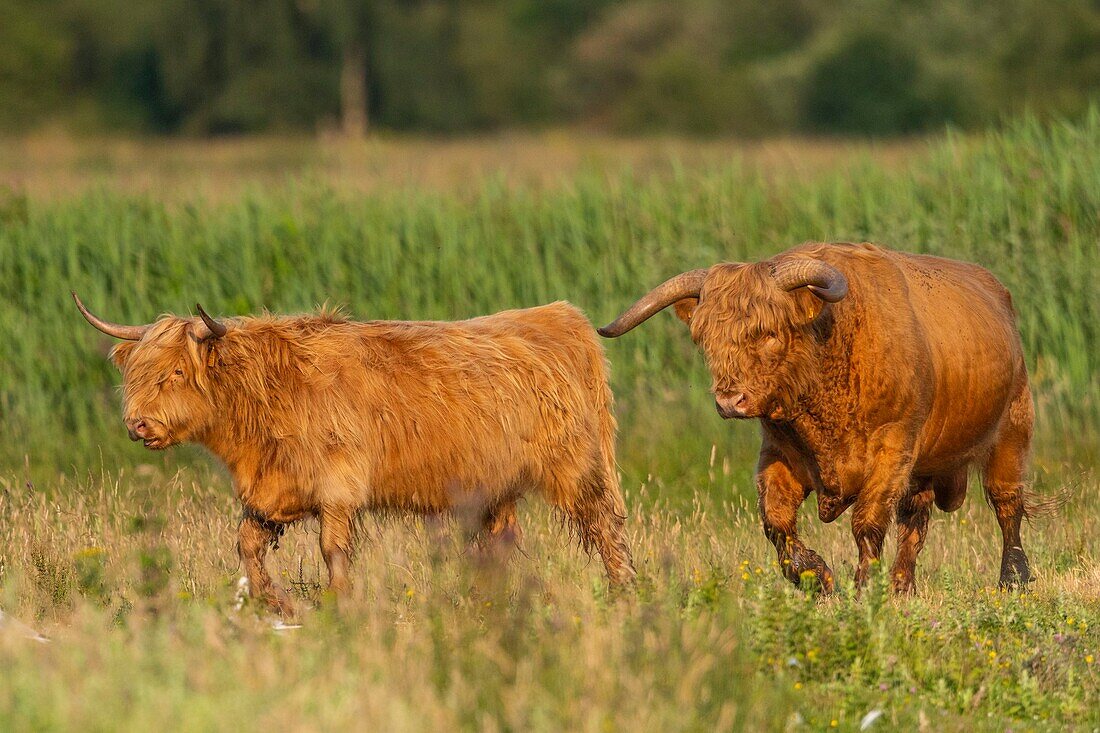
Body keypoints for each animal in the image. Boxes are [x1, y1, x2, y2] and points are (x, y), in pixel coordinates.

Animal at [75, 292, 638, 611]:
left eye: (174, 372)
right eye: (135, 374)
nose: (137, 424)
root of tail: (560, 318)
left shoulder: (338, 487)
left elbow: (333, 551)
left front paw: (341, 604)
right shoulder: (273, 492)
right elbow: (247, 546)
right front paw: (277, 604)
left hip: (578, 468)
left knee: (604, 527)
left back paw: (624, 595)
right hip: (494, 489)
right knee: (500, 544)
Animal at [602, 242, 1038, 589]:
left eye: (770, 332)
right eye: (706, 337)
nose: (729, 401)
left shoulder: (892, 452)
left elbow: (867, 523)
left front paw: (865, 588)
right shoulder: (779, 454)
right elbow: (776, 521)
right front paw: (818, 577)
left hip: (1011, 433)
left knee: (1006, 505)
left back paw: (1013, 578)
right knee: (916, 521)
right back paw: (902, 586)